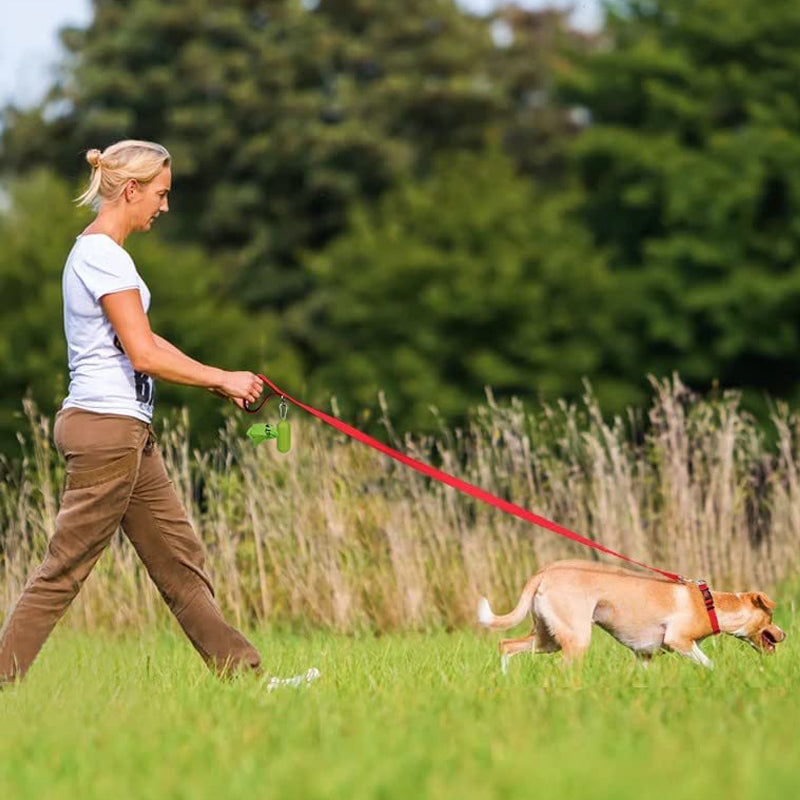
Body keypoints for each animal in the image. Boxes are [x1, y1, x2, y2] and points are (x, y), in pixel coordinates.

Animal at [478, 560, 784, 672]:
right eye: (770, 618)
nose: (785, 633)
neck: (709, 605)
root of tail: (546, 571)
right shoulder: (679, 641)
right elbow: (708, 663)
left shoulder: (644, 656)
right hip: (576, 639)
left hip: (548, 638)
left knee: (505, 645)